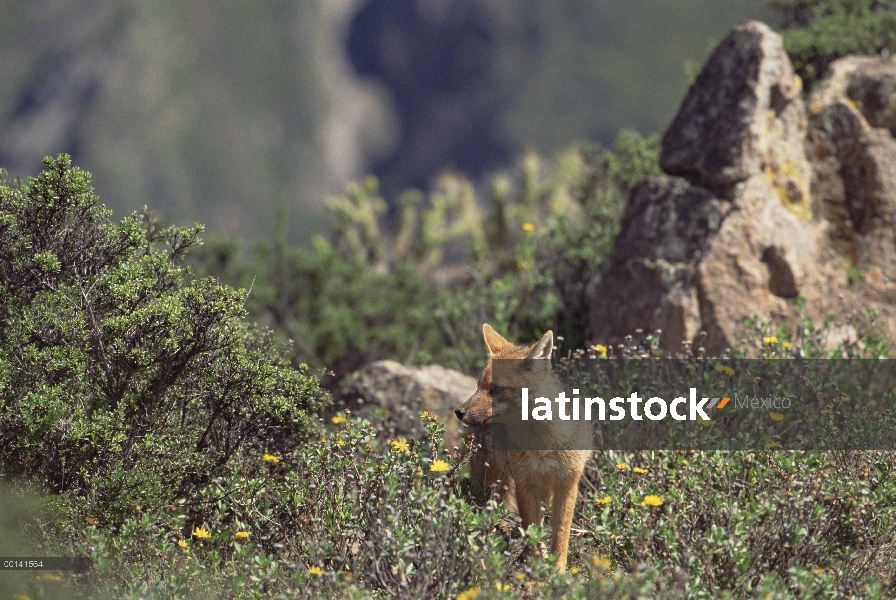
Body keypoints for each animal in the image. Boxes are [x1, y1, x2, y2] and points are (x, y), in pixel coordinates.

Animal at [456, 324, 596, 572]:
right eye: (478, 386)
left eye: (497, 389)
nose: (459, 411)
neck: (544, 444)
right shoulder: (525, 485)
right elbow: (533, 533)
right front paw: (537, 567)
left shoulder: (567, 484)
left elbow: (560, 534)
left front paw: (558, 570)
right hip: (493, 483)